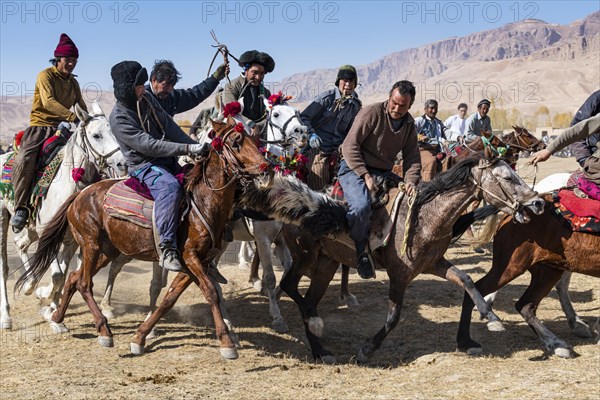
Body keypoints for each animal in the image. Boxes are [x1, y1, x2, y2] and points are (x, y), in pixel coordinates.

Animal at [0, 102, 126, 328]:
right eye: (96, 135)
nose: (122, 164)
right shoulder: (48, 235)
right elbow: (58, 274)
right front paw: (44, 295)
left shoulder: (70, 240)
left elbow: (64, 274)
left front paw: (51, 309)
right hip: (4, 217)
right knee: (4, 265)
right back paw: (6, 316)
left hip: (32, 229)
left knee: (20, 244)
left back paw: (30, 285)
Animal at [14, 116, 272, 360]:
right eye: (236, 142)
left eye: (255, 139)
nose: (266, 167)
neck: (203, 201)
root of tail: (80, 195)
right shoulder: (190, 258)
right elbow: (210, 292)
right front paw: (227, 343)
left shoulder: (197, 262)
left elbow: (169, 299)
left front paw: (140, 338)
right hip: (90, 245)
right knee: (84, 283)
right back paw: (103, 330)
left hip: (106, 251)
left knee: (73, 278)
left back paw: (58, 318)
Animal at [278, 155, 548, 362]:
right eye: (507, 178)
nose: (538, 203)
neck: (425, 216)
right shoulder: (400, 275)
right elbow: (393, 317)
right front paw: (367, 350)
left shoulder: (434, 264)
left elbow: (466, 280)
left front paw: (488, 319)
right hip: (304, 256)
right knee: (288, 286)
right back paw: (314, 323)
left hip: (327, 264)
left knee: (308, 298)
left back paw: (320, 350)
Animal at [458, 195, 596, 358]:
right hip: (513, 266)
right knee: (479, 288)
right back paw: (466, 341)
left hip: (548, 270)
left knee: (526, 305)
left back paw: (556, 343)